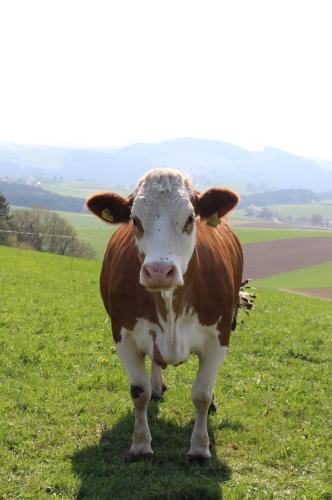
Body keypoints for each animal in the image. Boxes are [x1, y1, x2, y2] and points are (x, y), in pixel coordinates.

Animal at [87, 168, 248, 460]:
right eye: (135, 220)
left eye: (189, 219)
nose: (159, 271)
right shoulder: (124, 335)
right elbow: (139, 392)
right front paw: (140, 444)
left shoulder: (218, 337)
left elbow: (201, 394)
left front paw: (199, 447)